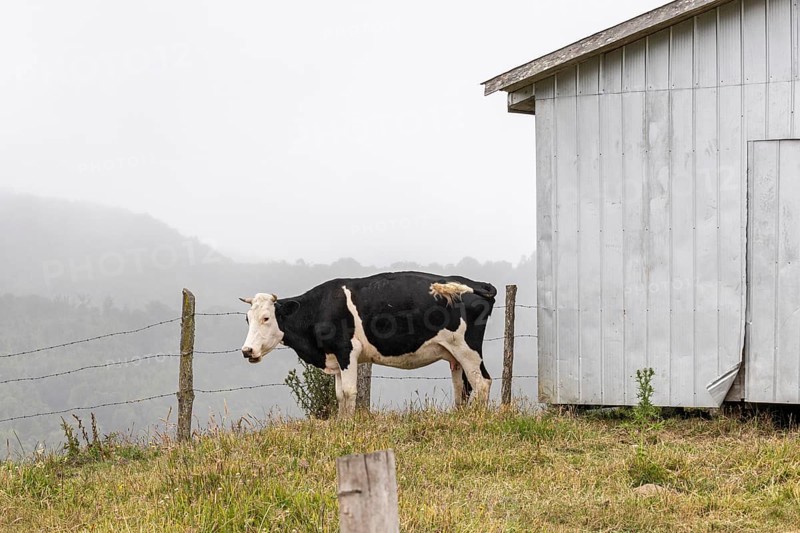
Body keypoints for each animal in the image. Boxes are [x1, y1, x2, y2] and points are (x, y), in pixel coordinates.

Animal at [240, 271, 497, 416]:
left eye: (266, 318)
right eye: (247, 319)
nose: (247, 350)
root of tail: (475, 283)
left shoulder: (347, 351)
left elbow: (349, 391)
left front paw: (349, 426)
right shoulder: (335, 357)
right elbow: (339, 394)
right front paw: (341, 423)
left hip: (468, 349)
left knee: (481, 382)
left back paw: (476, 419)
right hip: (454, 354)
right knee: (462, 387)